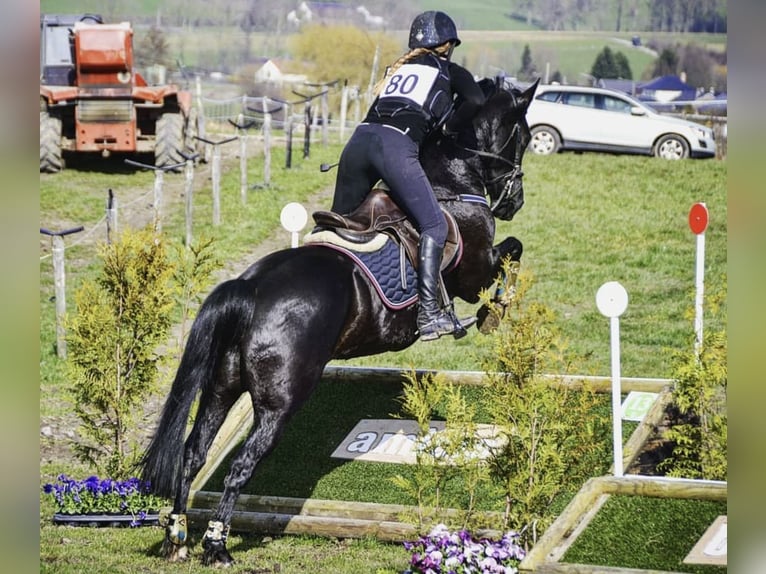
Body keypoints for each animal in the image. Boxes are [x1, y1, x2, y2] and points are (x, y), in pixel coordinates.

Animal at [142, 79, 540, 568]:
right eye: (524, 137)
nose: (515, 202)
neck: (450, 181)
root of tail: (250, 289)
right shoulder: (474, 270)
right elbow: (512, 253)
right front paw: (492, 313)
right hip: (279, 404)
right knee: (239, 467)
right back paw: (217, 545)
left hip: (221, 387)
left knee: (193, 455)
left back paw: (178, 536)